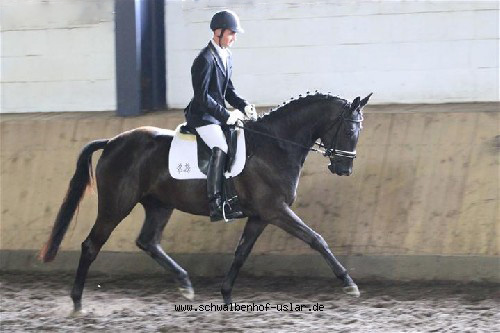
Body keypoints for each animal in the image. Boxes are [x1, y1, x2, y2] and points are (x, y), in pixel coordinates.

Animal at [40, 91, 372, 312]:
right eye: (350, 129)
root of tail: (112, 142)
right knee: (91, 245)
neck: (275, 145)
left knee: (148, 242)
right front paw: (349, 284)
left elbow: (241, 253)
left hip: (159, 205)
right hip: (116, 205)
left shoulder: (260, 216)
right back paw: (77, 302)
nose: (344, 169)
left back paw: (186, 285)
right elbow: (316, 239)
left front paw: (226, 295)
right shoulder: (276, 210)